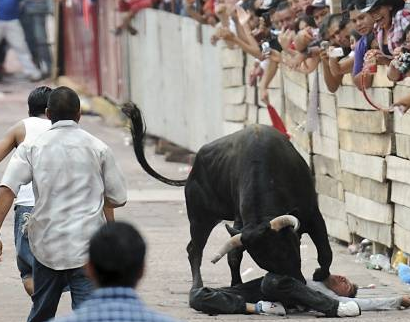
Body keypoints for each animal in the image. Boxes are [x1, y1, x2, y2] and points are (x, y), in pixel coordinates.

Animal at [122, 105, 334, 290]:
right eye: (264, 260)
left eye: (288, 248)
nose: (296, 281)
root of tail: (192, 171)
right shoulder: (239, 224)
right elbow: (234, 256)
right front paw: (236, 285)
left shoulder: (313, 215)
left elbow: (325, 252)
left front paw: (320, 275)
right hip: (200, 219)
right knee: (194, 250)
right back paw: (197, 285)